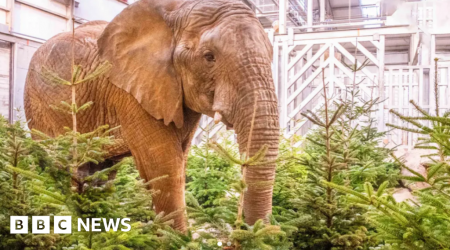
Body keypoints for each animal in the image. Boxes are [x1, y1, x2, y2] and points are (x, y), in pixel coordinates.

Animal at [24, 0, 280, 230]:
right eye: (209, 57)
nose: (250, 232)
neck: (175, 12)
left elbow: (180, 161)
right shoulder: (132, 93)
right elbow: (165, 166)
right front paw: (179, 240)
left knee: (100, 171)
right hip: (40, 108)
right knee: (63, 163)